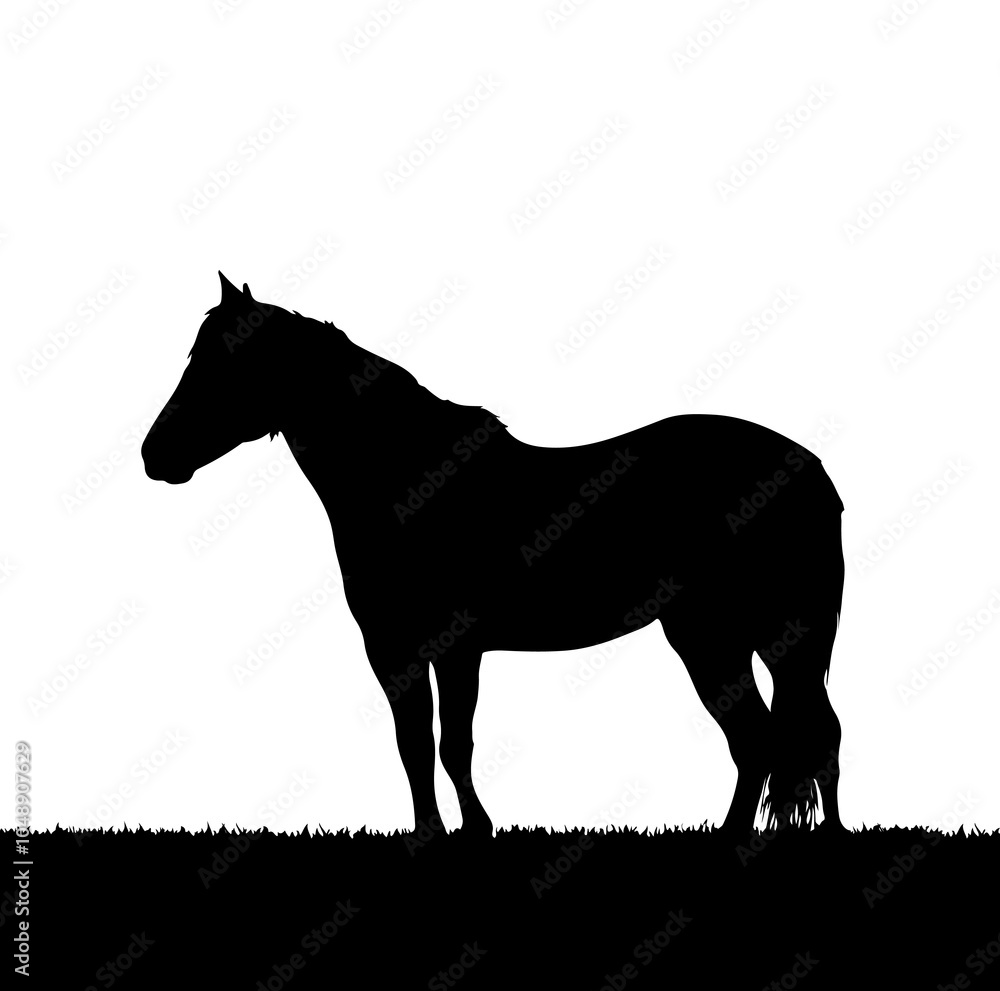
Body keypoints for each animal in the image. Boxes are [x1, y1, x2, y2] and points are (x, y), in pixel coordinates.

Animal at [142, 272, 846, 838]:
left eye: (226, 364)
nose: (155, 455)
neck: (408, 479)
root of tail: (812, 471)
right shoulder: (416, 648)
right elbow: (425, 744)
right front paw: (448, 833)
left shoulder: (434, 646)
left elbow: (442, 743)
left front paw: (461, 832)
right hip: (734, 636)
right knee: (788, 737)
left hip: (743, 635)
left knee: (783, 737)